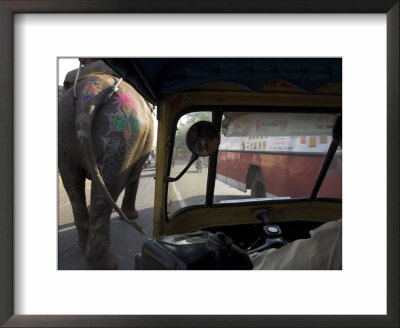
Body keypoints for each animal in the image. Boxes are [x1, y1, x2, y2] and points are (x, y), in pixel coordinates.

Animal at [58, 73, 154, 270]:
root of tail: (90, 88)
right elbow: (135, 176)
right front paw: (133, 216)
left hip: (65, 130)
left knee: (72, 182)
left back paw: (86, 247)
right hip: (124, 134)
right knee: (110, 182)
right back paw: (107, 265)